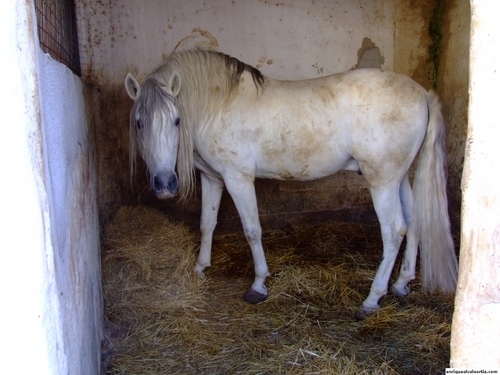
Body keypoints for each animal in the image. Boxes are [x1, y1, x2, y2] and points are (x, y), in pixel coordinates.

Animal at [125, 49, 458, 320]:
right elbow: (207, 223)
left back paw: (371, 300)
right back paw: (402, 283)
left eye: (176, 120)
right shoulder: (213, 178)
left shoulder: (238, 178)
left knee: (394, 232)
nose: (164, 183)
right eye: (139, 123)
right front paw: (199, 268)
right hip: (399, 179)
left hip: (382, 182)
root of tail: (422, 93)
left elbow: (252, 230)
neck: (218, 104)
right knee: (414, 223)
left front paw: (258, 285)